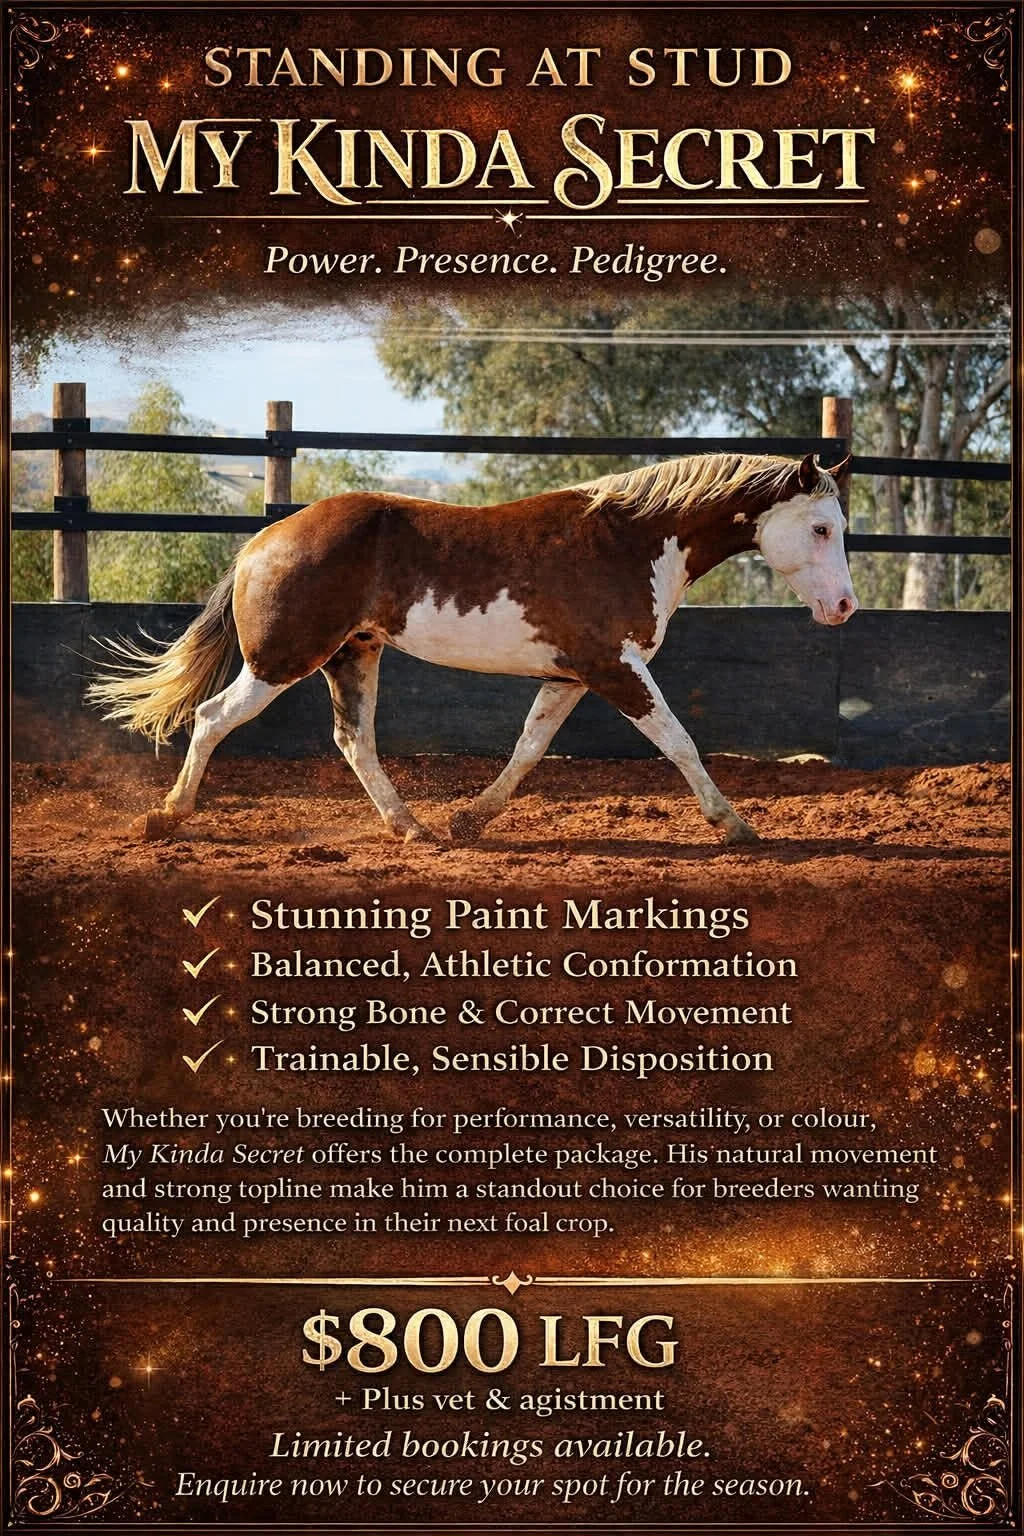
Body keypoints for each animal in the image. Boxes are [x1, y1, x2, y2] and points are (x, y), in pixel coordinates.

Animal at [88, 450, 856, 847]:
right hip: (283, 660)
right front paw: (735, 826)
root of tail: (260, 542)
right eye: (821, 528)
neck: (633, 540)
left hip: (353, 655)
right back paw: (168, 817)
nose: (844, 607)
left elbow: (528, 748)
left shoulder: (573, 675)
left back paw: (414, 828)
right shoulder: (615, 668)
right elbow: (679, 741)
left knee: (353, 740)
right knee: (214, 718)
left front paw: (469, 817)